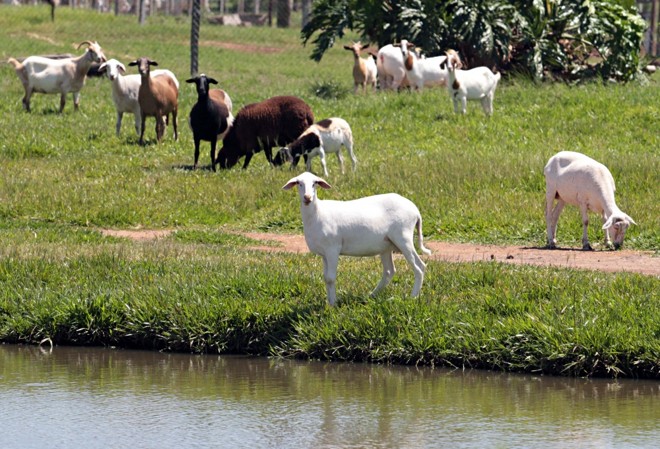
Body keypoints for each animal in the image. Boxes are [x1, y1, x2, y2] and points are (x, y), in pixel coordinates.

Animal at [283, 172, 431, 306]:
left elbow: (331, 278)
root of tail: (415, 210)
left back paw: (412, 297)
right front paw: (329, 303)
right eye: (299, 183)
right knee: (389, 271)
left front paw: (333, 305)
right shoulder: (324, 253)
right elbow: (326, 278)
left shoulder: (332, 249)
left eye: (315, 183)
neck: (318, 213)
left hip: (403, 238)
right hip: (386, 246)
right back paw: (371, 296)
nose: (307, 197)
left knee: (419, 267)